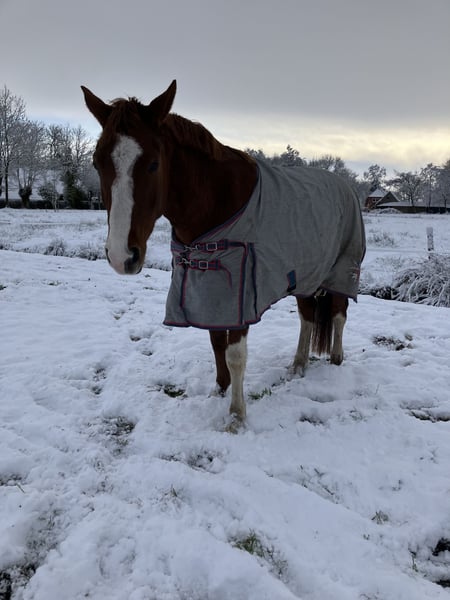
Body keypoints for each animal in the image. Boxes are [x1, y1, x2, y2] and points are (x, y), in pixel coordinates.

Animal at [82, 80, 365, 430]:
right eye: (97, 163)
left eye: (153, 163)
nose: (122, 256)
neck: (216, 200)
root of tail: (346, 186)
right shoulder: (210, 289)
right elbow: (216, 342)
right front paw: (220, 389)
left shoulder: (243, 293)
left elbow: (235, 354)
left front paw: (236, 415)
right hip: (305, 275)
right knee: (308, 316)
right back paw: (298, 364)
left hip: (341, 268)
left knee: (338, 313)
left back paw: (336, 360)